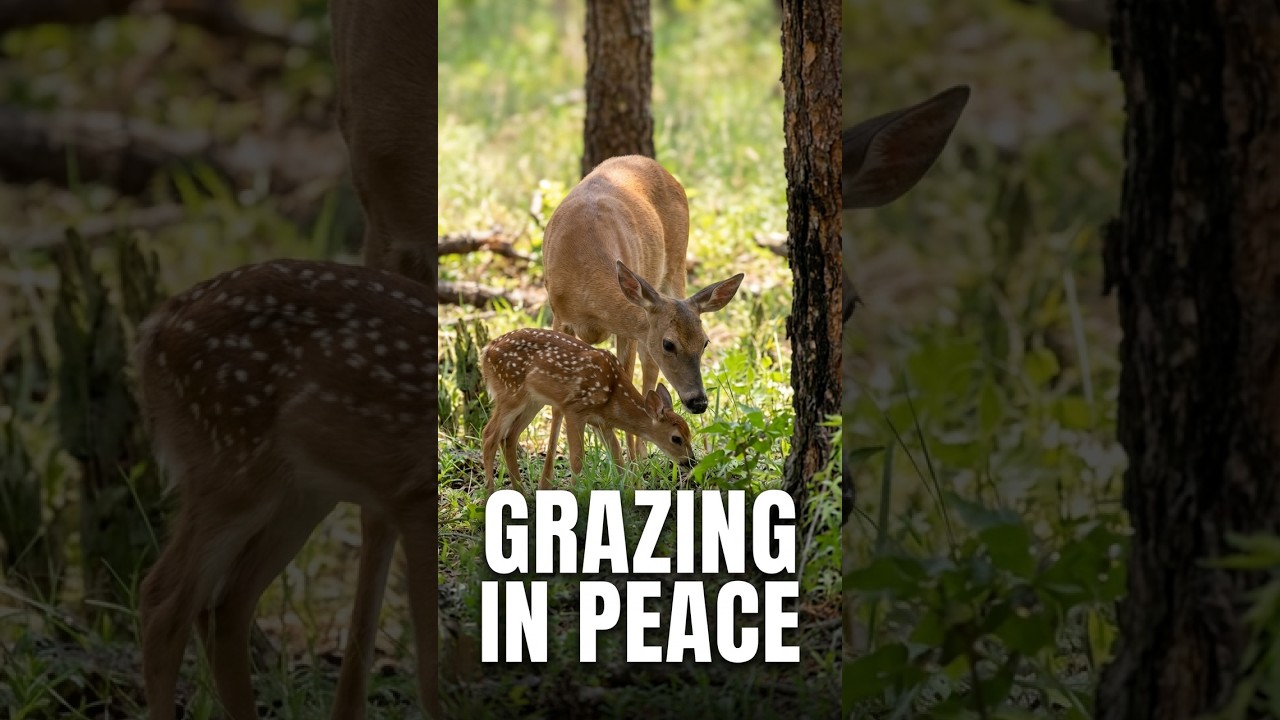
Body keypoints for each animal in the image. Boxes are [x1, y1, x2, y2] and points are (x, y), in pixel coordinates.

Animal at [134, 259, 438, 720]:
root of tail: (156, 326)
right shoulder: (417, 498)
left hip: (299, 494)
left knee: (225, 607)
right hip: (232, 466)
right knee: (163, 605)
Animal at [480, 328, 696, 494]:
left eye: (689, 434)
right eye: (676, 438)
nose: (691, 462)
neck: (613, 393)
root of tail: (485, 351)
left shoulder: (601, 423)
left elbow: (618, 458)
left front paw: (629, 493)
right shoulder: (574, 408)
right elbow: (577, 459)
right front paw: (576, 493)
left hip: (532, 402)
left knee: (509, 437)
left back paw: (522, 493)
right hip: (509, 392)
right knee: (489, 435)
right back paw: (490, 494)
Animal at [540, 155, 744, 488]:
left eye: (705, 343)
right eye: (669, 344)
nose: (698, 402)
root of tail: (646, 160)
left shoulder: (629, 332)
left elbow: (627, 382)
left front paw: (629, 471)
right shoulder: (560, 316)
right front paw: (548, 481)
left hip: (675, 265)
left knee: (648, 376)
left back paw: (641, 457)